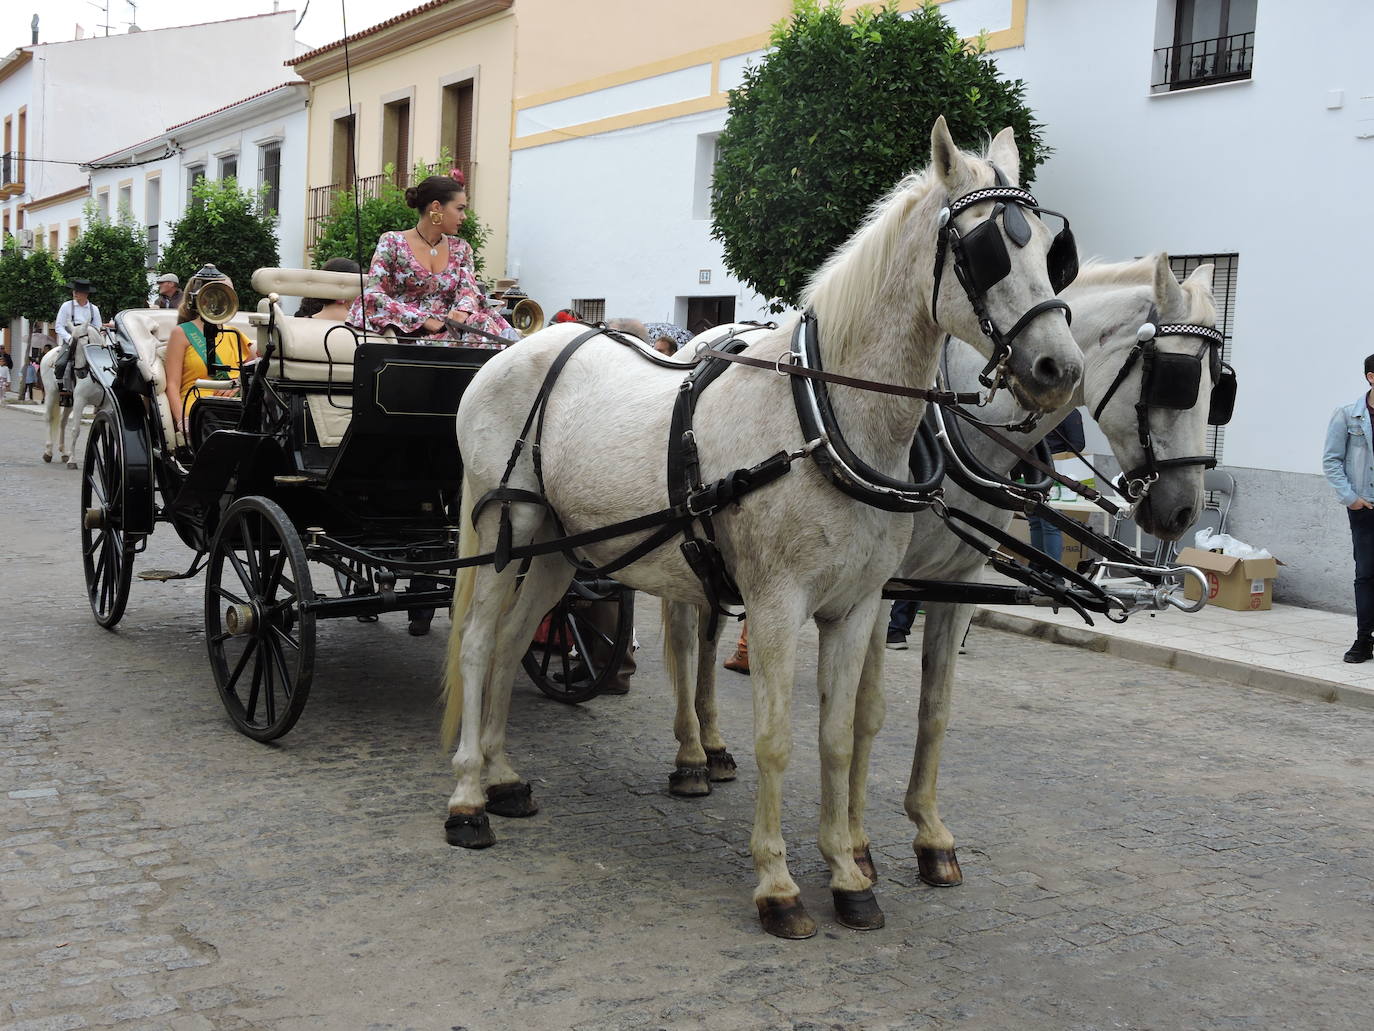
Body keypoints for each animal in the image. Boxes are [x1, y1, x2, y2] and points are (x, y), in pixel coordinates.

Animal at [41, 323, 109, 469]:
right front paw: (72, 460)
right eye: (72, 348)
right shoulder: (80, 401)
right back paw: (48, 452)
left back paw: (63, 452)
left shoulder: (107, 404)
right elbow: (75, 430)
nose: (81, 373)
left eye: (85, 347)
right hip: (51, 394)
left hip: (69, 401)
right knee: (49, 418)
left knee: (62, 421)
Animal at [440, 118, 1084, 939]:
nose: (1058, 367)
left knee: (516, 640)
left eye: (1052, 251)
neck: (823, 419)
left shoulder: (859, 605)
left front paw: (848, 872)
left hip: (562, 544)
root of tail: (517, 349)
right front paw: (778, 883)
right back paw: (467, 798)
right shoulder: (778, 604)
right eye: (986, 249)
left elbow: (837, 734)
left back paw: (501, 775)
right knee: (479, 642)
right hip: (508, 527)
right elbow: (776, 739)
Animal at [660, 252, 1223, 894]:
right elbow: (867, 711)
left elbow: (935, 708)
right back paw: (690, 757)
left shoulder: (956, 583)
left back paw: (713, 744)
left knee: (709, 635)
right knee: (686, 639)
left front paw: (930, 833)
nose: (1181, 511)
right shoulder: (884, 586)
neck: (956, 431)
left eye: (1221, 386)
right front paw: (858, 846)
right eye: (1174, 379)